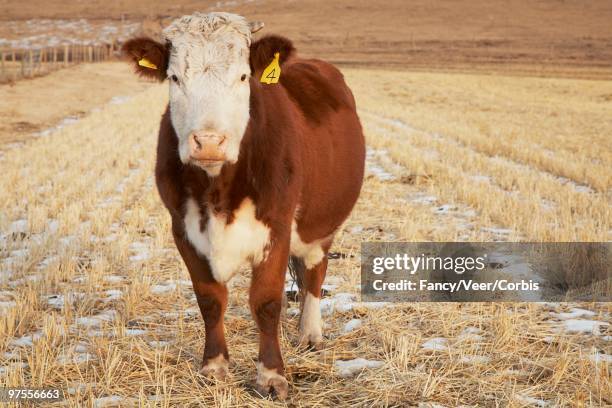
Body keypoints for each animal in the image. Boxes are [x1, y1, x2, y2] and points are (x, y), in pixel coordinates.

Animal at [122, 11, 366, 398]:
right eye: (175, 77)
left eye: (241, 76)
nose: (208, 142)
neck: (218, 190)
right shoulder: (183, 229)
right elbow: (210, 300)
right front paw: (214, 367)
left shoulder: (277, 228)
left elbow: (266, 302)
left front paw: (271, 375)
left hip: (321, 224)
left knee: (314, 271)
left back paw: (309, 332)